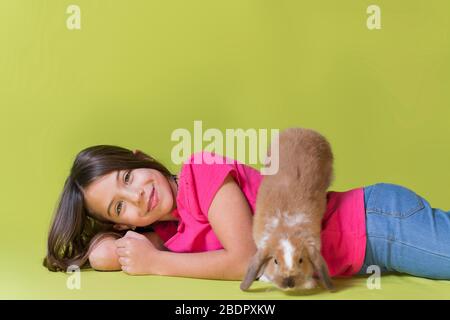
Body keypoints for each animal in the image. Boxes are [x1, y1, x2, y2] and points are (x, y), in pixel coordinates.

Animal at [241, 127, 336, 290]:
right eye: (275, 261)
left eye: (301, 260)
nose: (289, 281)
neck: (285, 226)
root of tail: (303, 129)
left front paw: (309, 283)